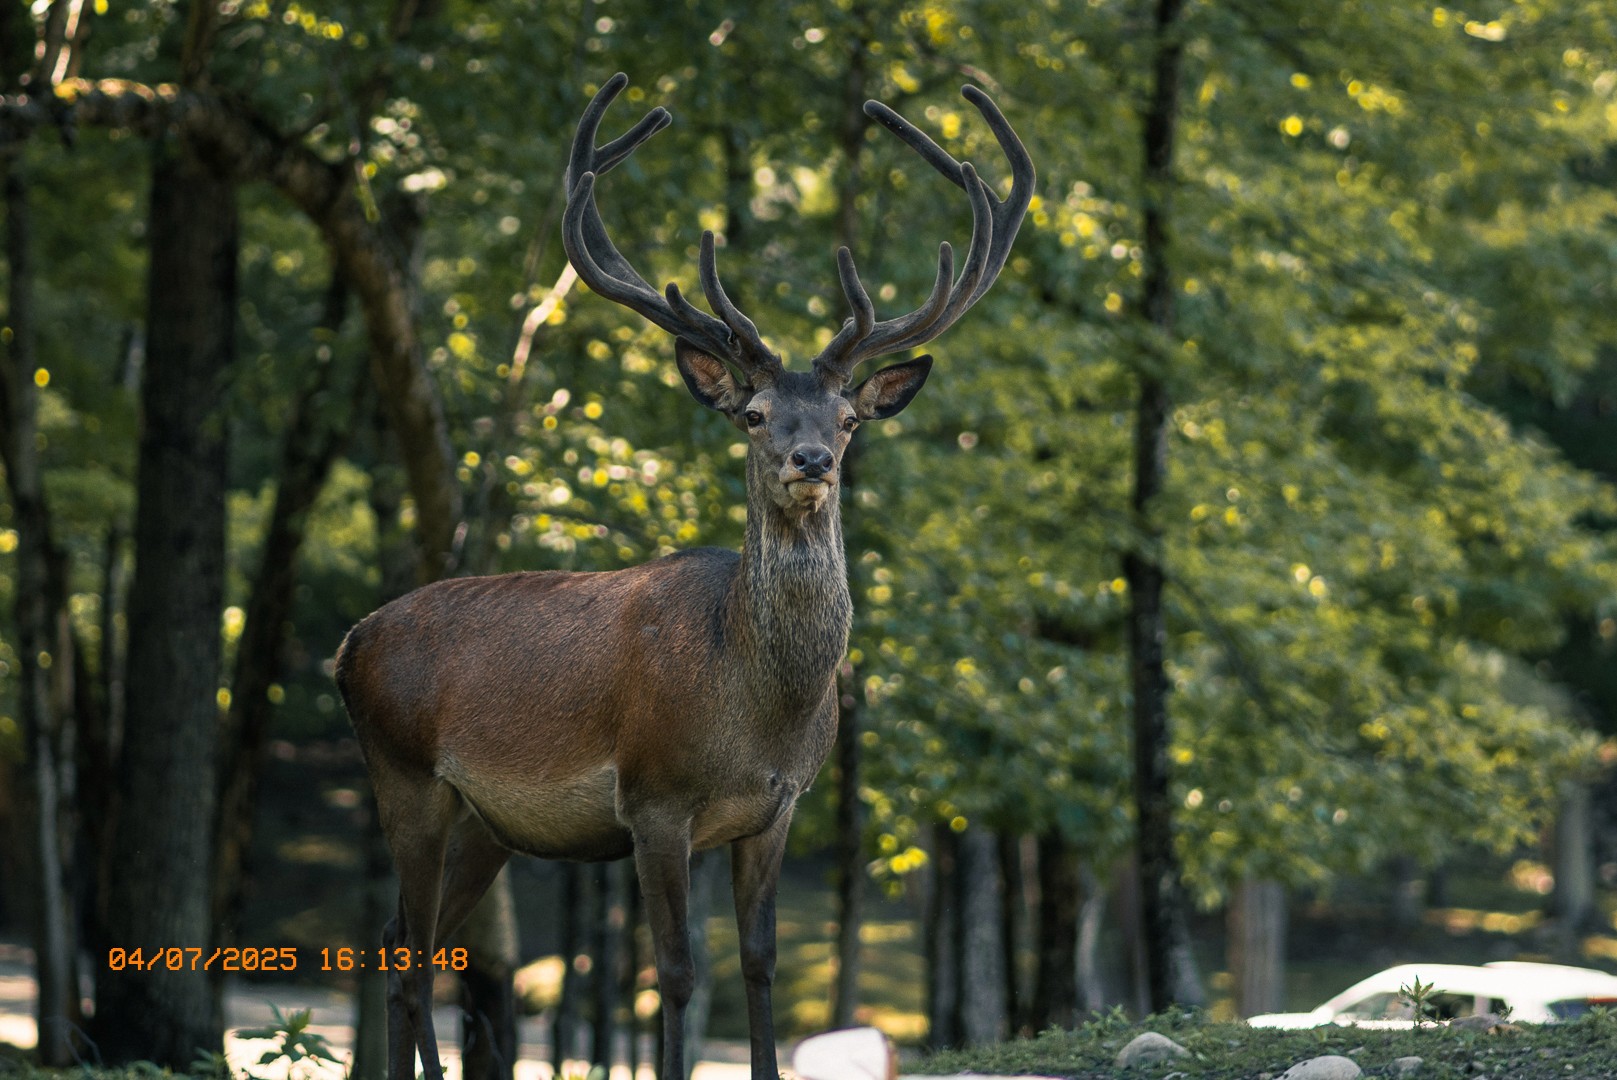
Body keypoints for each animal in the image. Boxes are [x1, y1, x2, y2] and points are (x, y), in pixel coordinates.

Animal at [335, 72, 1032, 1080]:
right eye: (753, 413)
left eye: (848, 418)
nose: (812, 460)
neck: (757, 706)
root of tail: (347, 646)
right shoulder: (654, 800)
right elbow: (673, 971)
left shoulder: (777, 809)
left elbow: (759, 960)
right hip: (404, 775)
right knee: (405, 949)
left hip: (485, 823)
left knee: (409, 947)